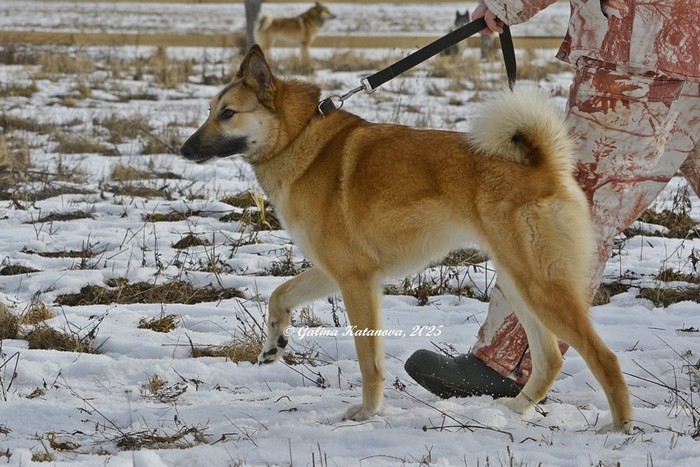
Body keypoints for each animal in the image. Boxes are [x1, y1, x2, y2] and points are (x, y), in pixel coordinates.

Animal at [180, 45, 633, 433]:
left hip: (540, 285)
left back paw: (621, 428)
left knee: (604, 357)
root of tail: (543, 165)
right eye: (210, 111)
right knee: (549, 359)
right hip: (519, 283)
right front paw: (274, 342)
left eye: (227, 113)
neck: (299, 138)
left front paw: (368, 412)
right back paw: (517, 408)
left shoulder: (356, 281)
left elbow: (369, 361)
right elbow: (280, 295)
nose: (184, 150)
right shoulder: (337, 269)